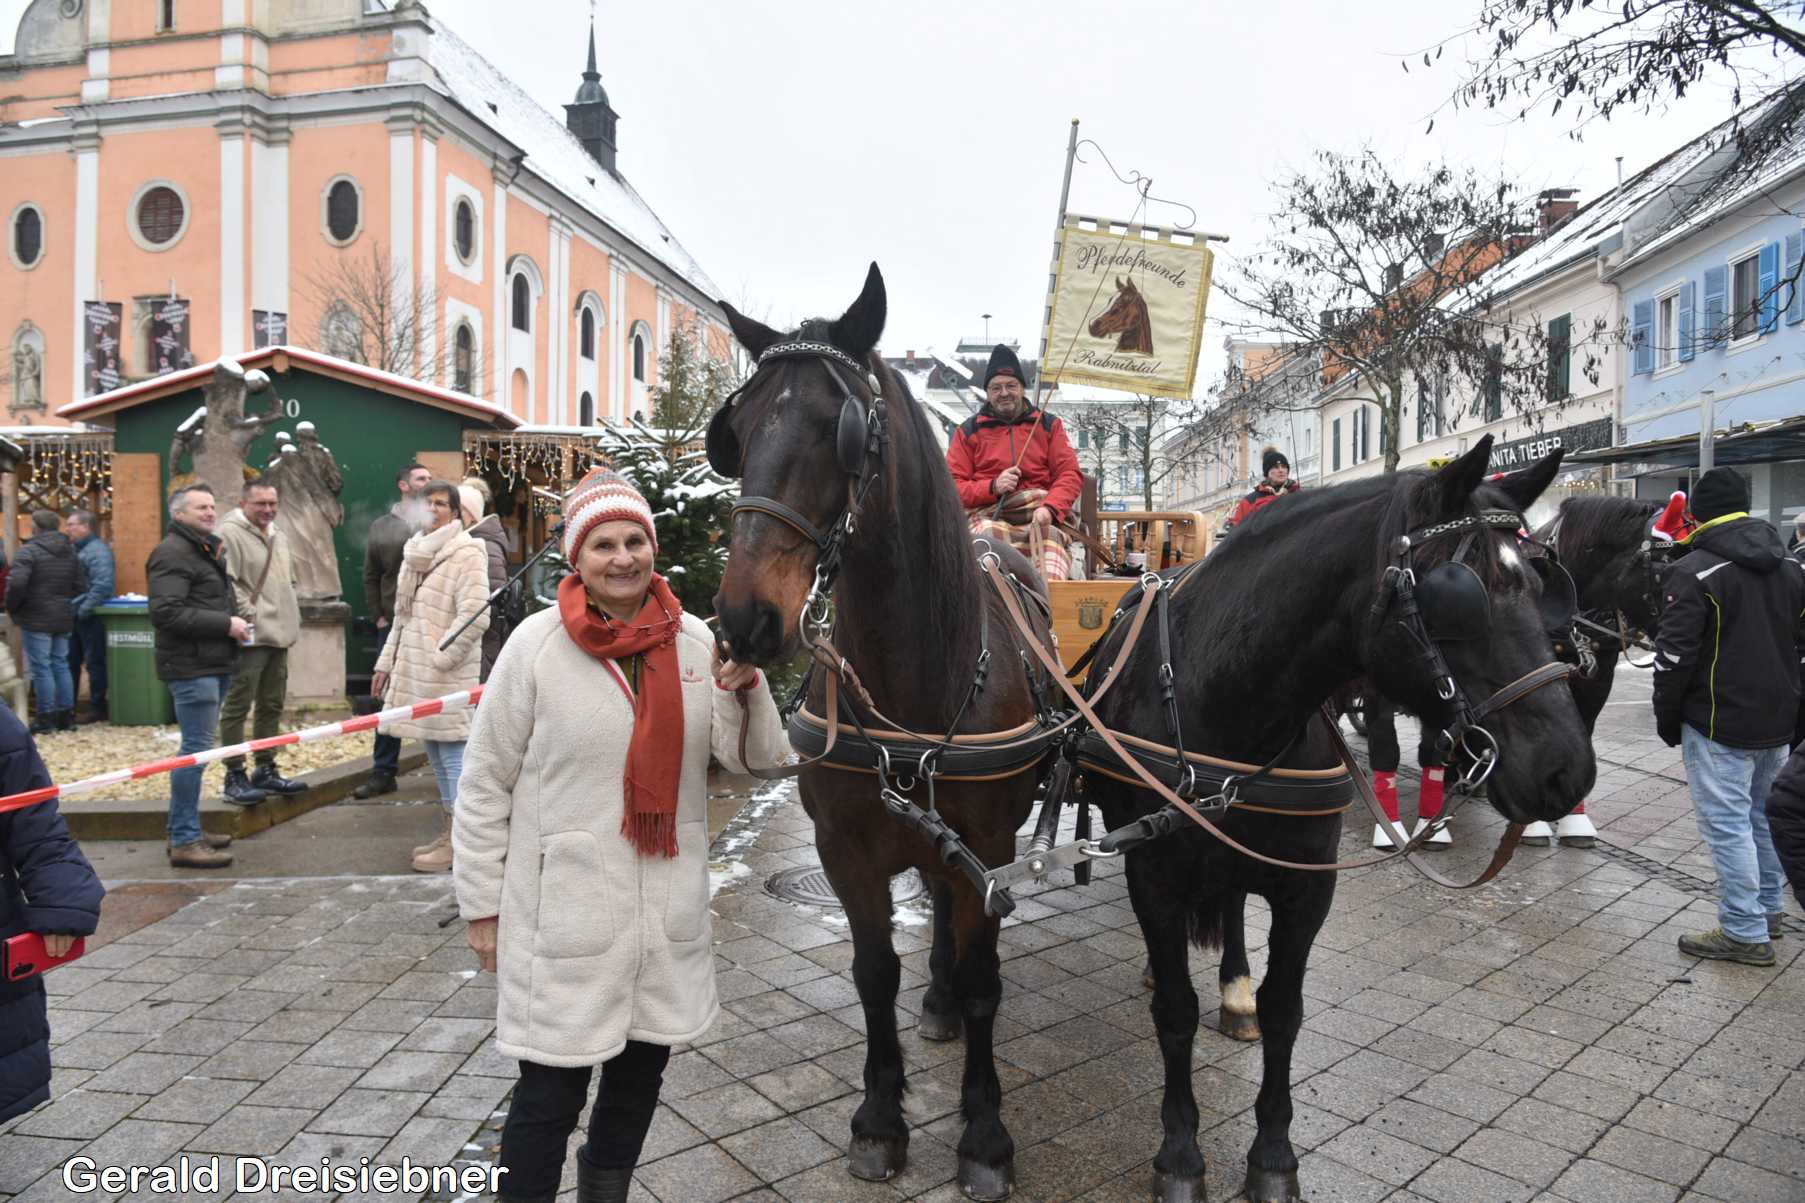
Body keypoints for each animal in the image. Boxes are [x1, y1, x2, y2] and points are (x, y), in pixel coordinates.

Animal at [711, 265, 1048, 1200]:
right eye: (735, 431)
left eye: (844, 431)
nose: (744, 618)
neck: (913, 682)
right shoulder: (845, 849)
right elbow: (873, 973)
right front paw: (878, 1119)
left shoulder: (986, 847)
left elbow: (984, 979)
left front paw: (984, 1133)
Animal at [1078, 443, 1596, 1203]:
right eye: (1459, 595)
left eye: (1542, 583)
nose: (1567, 770)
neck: (1226, 695)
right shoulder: (1155, 875)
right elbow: (1173, 1009)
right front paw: (1179, 1153)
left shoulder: (1306, 886)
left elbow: (1285, 1010)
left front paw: (1272, 1153)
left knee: (1232, 906)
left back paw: (1234, 992)